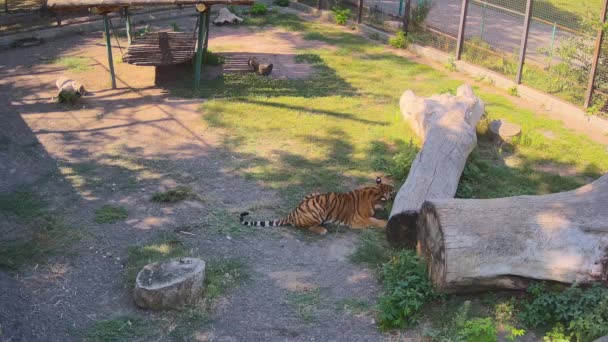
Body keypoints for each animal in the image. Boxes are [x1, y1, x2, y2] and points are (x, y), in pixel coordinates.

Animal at [238, 176, 394, 235]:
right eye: (392, 195)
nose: (388, 207)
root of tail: (292, 213)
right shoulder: (357, 220)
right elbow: (374, 221)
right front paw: (384, 222)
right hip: (318, 209)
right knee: (307, 227)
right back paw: (322, 229)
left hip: (314, 193)